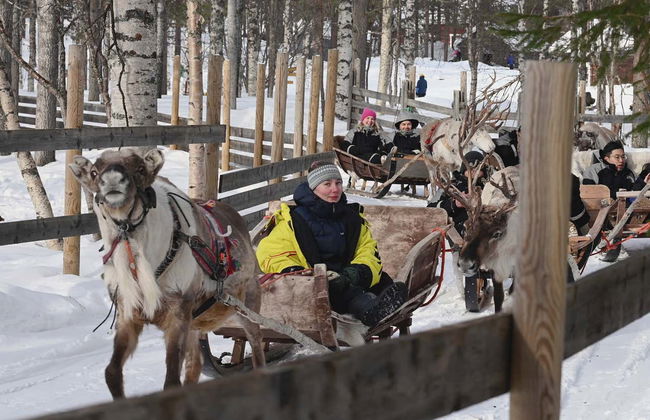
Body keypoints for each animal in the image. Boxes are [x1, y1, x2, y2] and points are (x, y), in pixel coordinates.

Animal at [68, 148, 266, 399]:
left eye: (140, 168)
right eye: (94, 171)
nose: (112, 179)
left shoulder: (178, 313)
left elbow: (171, 383)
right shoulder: (128, 313)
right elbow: (111, 372)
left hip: (247, 305)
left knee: (257, 344)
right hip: (196, 325)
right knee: (196, 363)